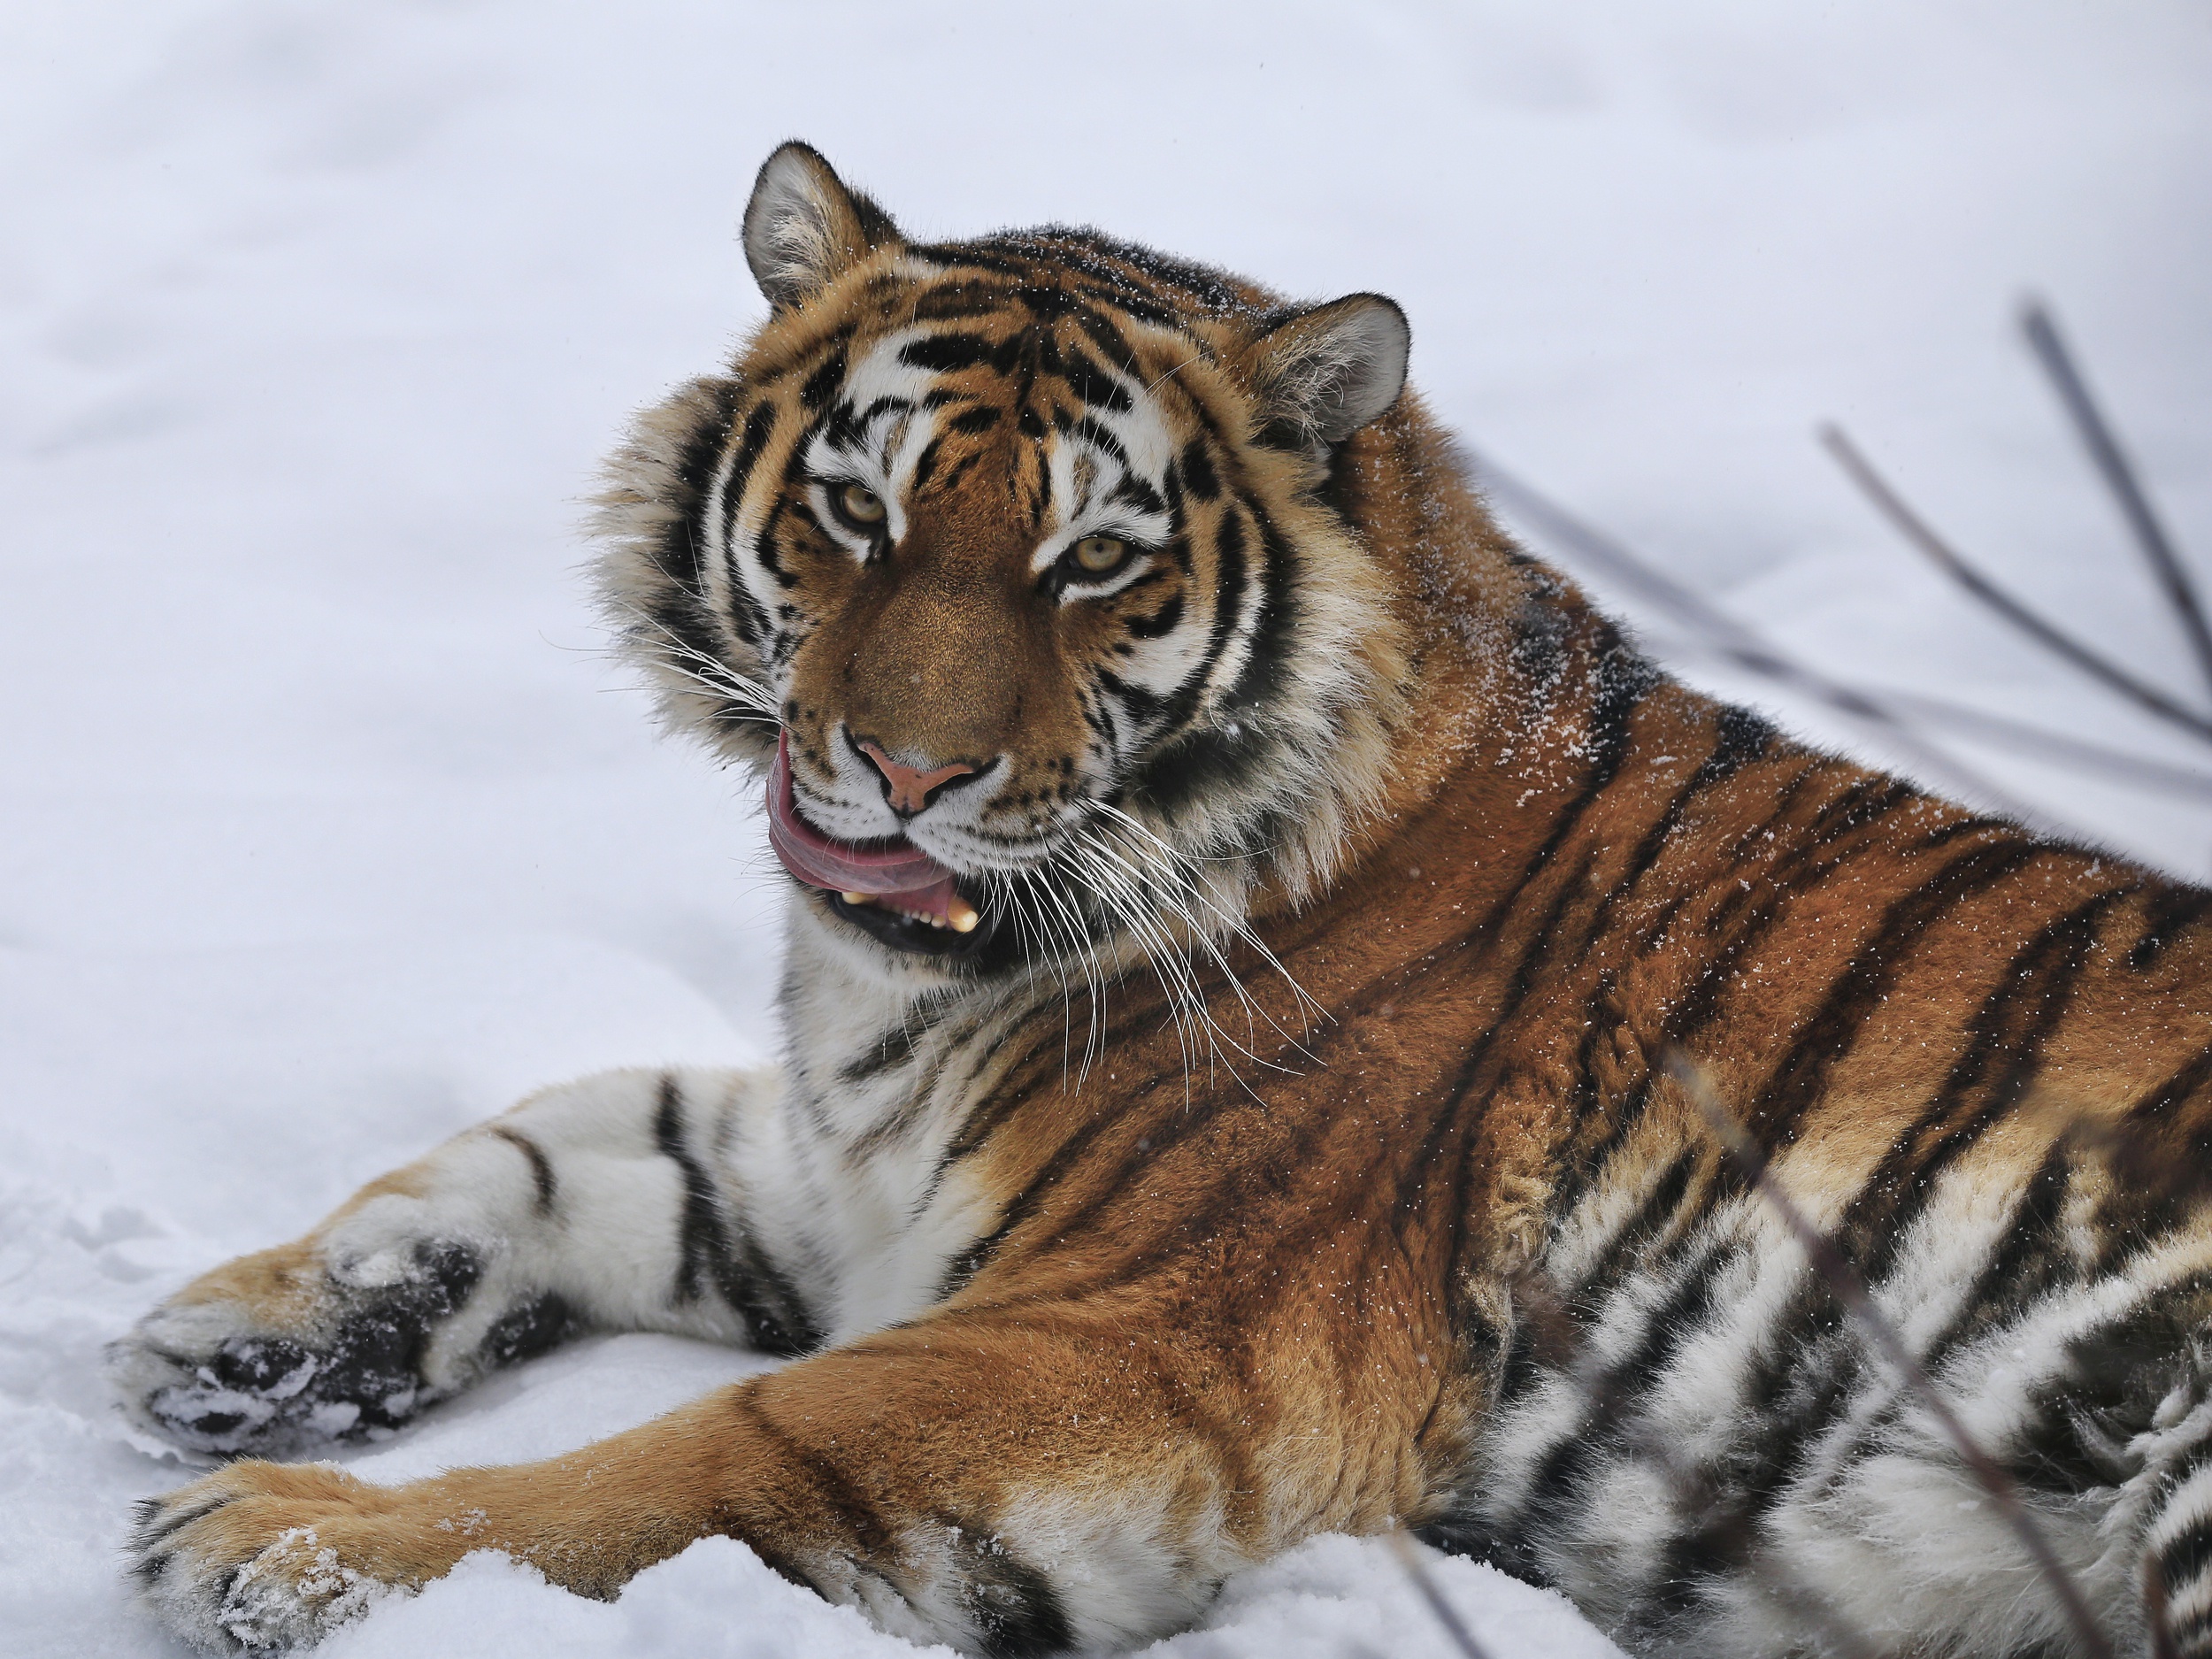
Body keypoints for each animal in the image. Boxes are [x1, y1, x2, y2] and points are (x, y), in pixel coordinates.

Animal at [116, 142, 2212, 1659]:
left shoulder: (1146, 1331)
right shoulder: (860, 1177)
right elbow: (564, 1139)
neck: (917, 988)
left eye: (1094, 565)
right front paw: (235, 1341)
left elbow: (700, 1461)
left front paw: (276, 1545)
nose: (907, 771)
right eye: (859, 513)